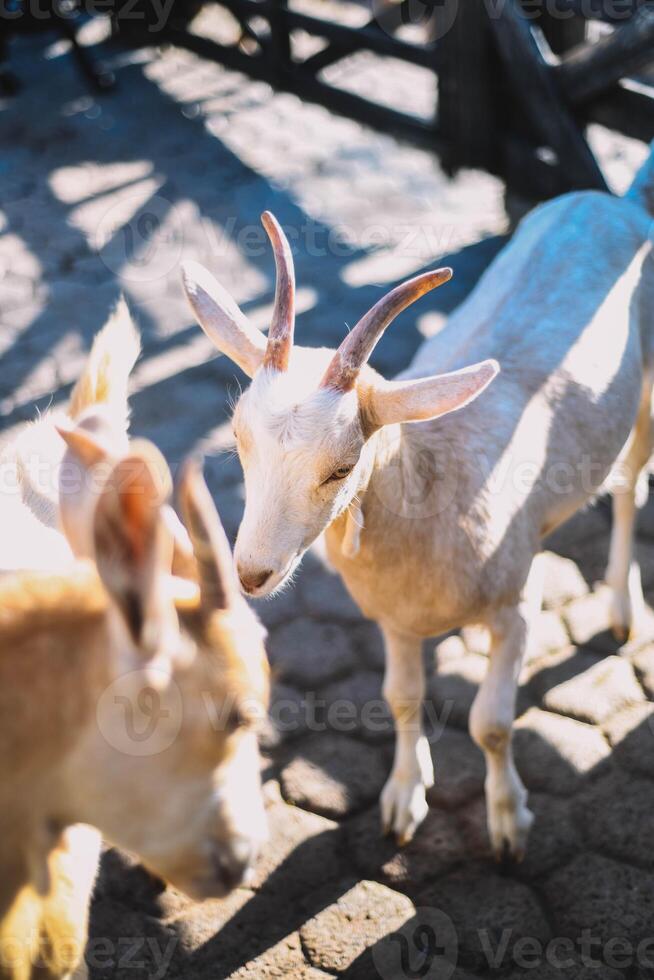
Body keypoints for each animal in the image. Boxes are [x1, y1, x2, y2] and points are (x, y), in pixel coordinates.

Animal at [182, 145, 654, 856]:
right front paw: (403, 802)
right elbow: (402, 697)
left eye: (342, 465)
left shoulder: (518, 602)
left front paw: (509, 822)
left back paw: (625, 610)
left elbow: (492, 722)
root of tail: (615, 202)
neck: (440, 477)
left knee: (629, 483)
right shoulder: (395, 619)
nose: (252, 573)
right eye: (237, 437)